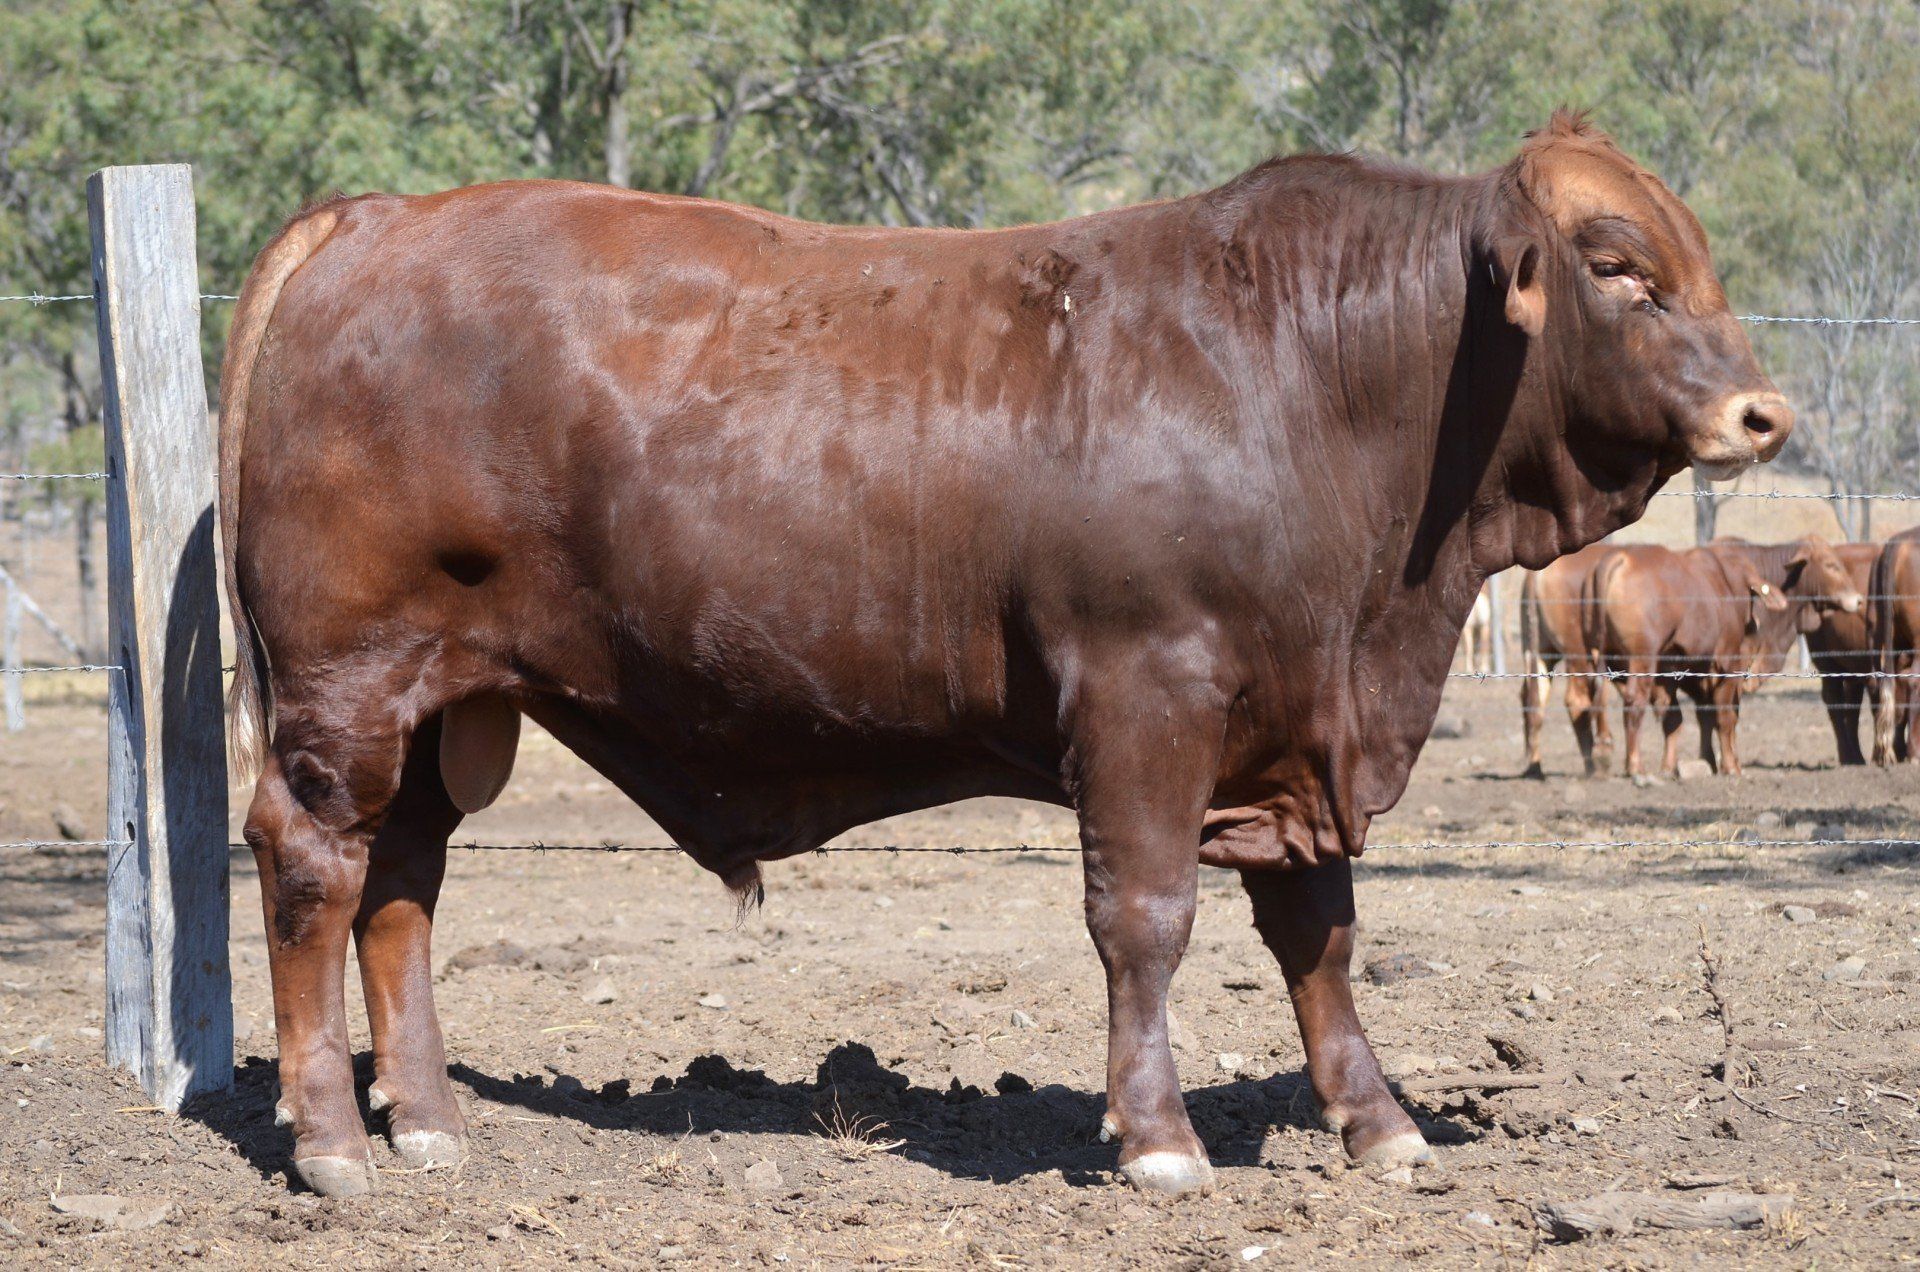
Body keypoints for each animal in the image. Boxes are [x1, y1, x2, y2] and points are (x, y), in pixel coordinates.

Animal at [1519, 542, 1624, 777]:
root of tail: (1536, 576)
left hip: (1540, 651)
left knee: (1533, 700)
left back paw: (1534, 766)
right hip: (1577, 652)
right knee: (1578, 700)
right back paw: (1595, 763)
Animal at [1585, 539, 1857, 777]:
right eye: (1831, 565)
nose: (1857, 599)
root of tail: (1620, 557)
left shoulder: (1682, 673)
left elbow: (1688, 717)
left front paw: (1688, 764)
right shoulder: (1730, 665)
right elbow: (1725, 717)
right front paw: (1730, 766)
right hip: (1642, 660)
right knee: (1634, 702)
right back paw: (1634, 766)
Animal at [1802, 542, 1881, 764]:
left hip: (1853, 666)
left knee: (1852, 706)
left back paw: (1856, 755)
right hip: (1827, 661)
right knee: (1834, 701)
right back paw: (1848, 756)